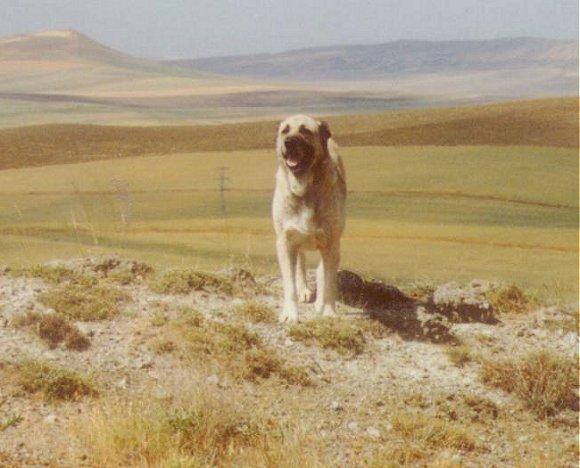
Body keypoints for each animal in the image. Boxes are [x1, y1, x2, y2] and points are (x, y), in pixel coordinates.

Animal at [272, 115, 344, 324]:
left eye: (305, 131)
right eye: (285, 130)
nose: (288, 142)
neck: (304, 189)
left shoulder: (331, 242)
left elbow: (328, 282)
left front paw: (328, 311)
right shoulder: (285, 241)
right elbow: (289, 283)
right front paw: (290, 313)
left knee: (322, 271)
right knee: (301, 263)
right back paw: (304, 289)